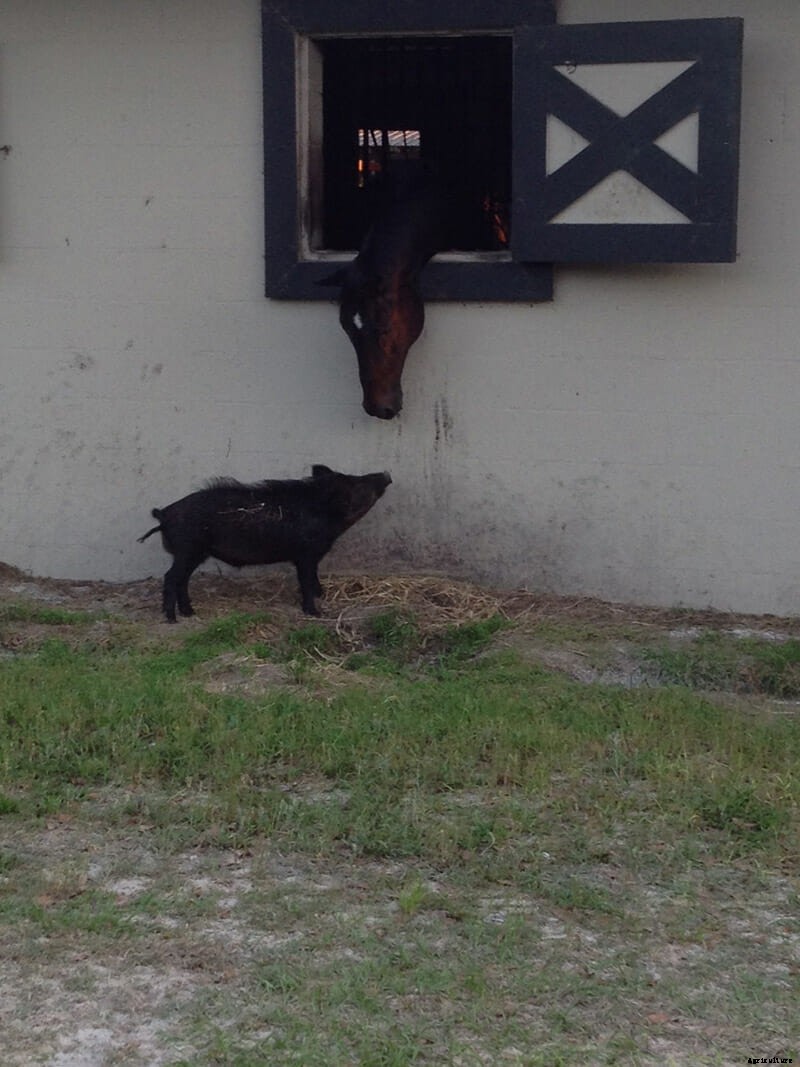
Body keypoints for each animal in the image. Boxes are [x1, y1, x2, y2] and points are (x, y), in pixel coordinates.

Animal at [137, 464, 391, 621]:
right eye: (354, 484)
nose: (387, 474)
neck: (325, 514)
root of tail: (163, 514)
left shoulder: (311, 556)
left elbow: (314, 578)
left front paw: (323, 595)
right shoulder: (305, 554)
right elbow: (306, 581)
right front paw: (314, 612)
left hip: (194, 554)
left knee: (182, 580)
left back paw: (190, 613)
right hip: (187, 550)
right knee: (171, 577)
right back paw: (172, 619)